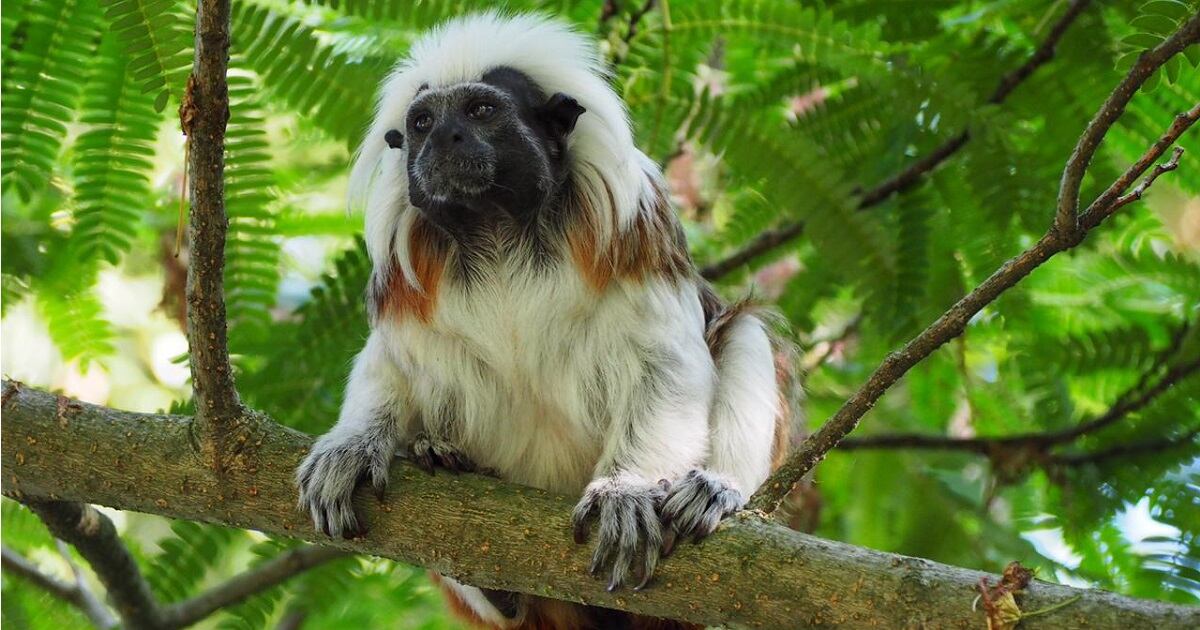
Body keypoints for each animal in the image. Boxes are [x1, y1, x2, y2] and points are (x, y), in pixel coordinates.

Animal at [296, 12, 794, 629]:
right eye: (423, 122)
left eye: (481, 111)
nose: (443, 140)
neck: (497, 229)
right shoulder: (402, 277)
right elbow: (391, 363)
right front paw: (354, 447)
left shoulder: (635, 232)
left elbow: (665, 364)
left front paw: (625, 491)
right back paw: (462, 509)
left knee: (743, 332)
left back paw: (715, 491)